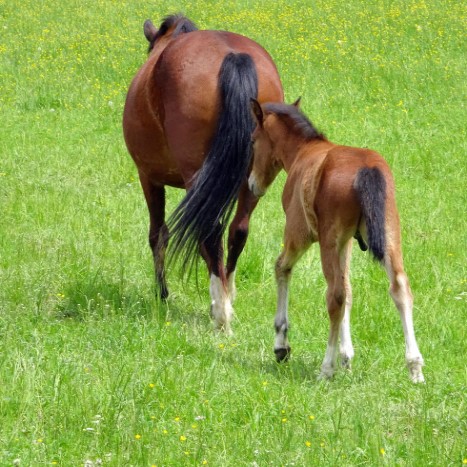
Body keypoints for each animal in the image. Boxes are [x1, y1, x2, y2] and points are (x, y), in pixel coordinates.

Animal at [122, 13, 284, 332]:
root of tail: (233, 56)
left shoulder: (148, 176)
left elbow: (158, 234)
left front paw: (162, 293)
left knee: (209, 233)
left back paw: (220, 312)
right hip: (252, 181)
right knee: (237, 231)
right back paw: (227, 296)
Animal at [250, 99, 426, 384]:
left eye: (253, 140)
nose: (252, 184)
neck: (304, 152)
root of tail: (367, 169)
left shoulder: (299, 234)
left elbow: (282, 268)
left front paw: (281, 344)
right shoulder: (349, 242)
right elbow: (350, 288)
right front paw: (347, 356)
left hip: (327, 240)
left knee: (334, 295)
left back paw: (326, 367)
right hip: (388, 235)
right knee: (399, 287)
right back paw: (415, 367)